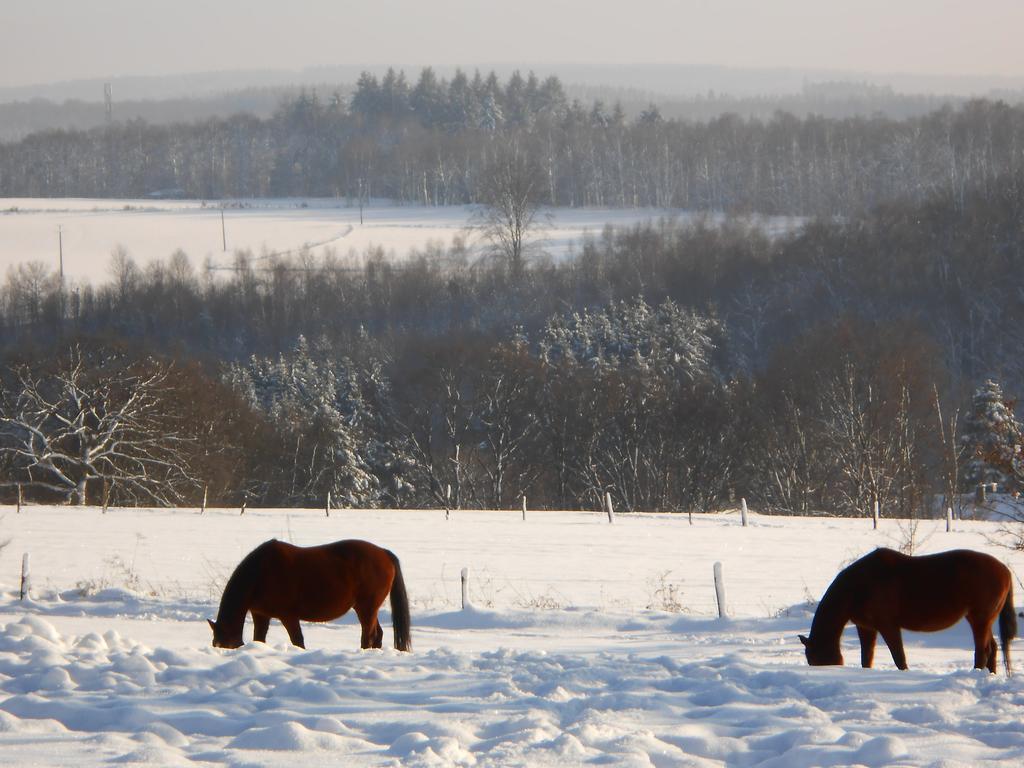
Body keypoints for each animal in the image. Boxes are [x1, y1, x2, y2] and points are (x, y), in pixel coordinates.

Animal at [207, 540, 411, 655]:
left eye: (224, 645)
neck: (260, 573)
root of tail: (384, 553)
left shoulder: (288, 616)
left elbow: (298, 641)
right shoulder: (261, 615)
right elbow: (259, 639)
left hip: (366, 608)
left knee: (369, 636)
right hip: (369, 609)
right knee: (378, 635)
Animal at [798, 548, 1015, 675]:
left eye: (815, 658)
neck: (859, 586)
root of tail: (1005, 570)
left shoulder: (888, 626)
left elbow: (899, 657)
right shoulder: (866, 628)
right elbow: (866, 659)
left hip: (979, 619)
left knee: (983, 651)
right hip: (983, 620)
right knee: (992, 648)